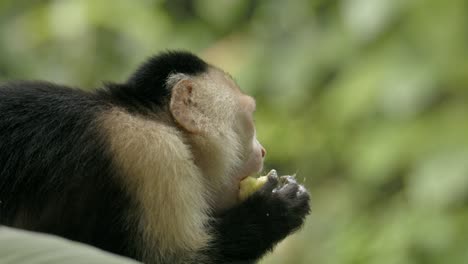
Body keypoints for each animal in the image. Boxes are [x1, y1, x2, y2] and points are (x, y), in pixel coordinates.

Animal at [0, 51, 310, 264]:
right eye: (249, 121)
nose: (262, 150)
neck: (146, 116)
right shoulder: (155, 153)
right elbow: (175, 259)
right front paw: (278, 207)